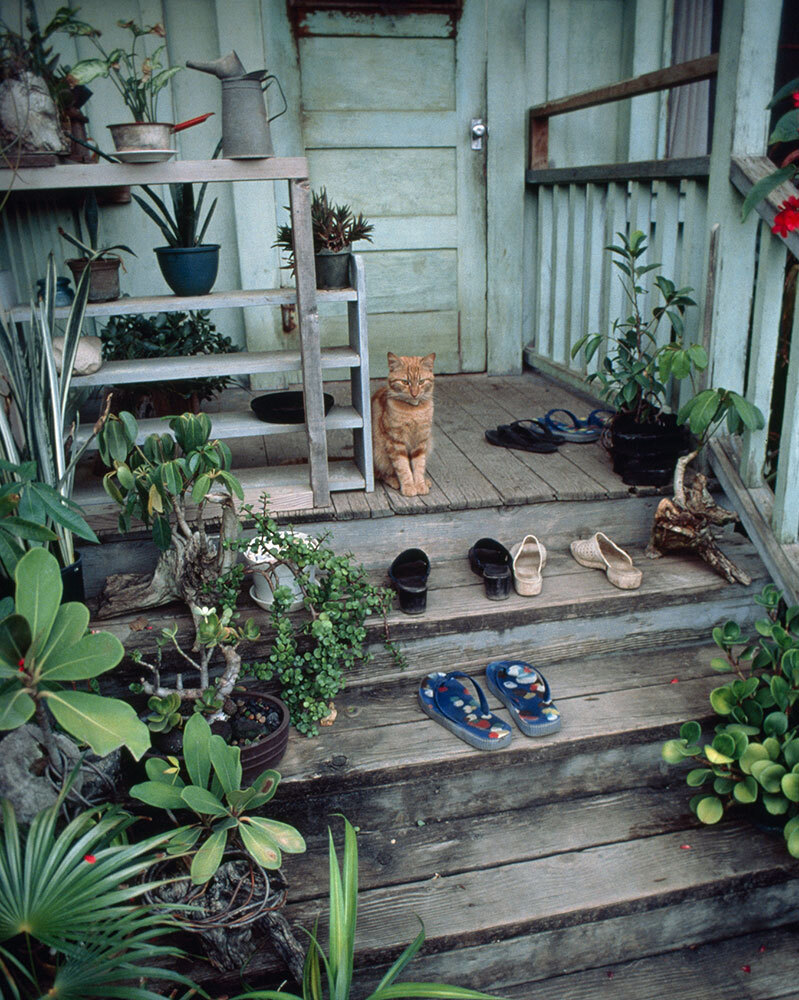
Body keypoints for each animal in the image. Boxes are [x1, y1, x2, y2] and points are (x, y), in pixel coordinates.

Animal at [370, 352, 434, 496]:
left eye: (421, 382)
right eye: (405, 382)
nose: (414, 394)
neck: (414, 411)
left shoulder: (421, 442)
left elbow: (419, 465)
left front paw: (420, 484)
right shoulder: (395, 443)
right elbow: (403, 467)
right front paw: (409, 486)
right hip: (378, 452)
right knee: (382, 474)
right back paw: (395, 481)